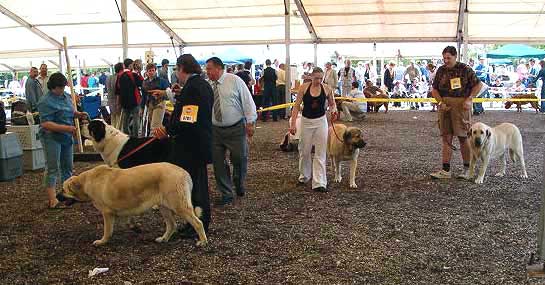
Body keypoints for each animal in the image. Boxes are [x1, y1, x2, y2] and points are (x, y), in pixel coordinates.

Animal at [62, 162, 207, 246]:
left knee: (198, 223)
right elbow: (127, 220)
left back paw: (203, 241)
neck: (86, 181)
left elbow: (107, 230)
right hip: (164, 207)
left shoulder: (107, 213)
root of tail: (184, 172)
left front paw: (102, 241)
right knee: (172, 225)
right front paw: (134, 227)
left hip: (179, 206)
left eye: (63, 190)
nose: (58, 196)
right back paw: (163, 239)